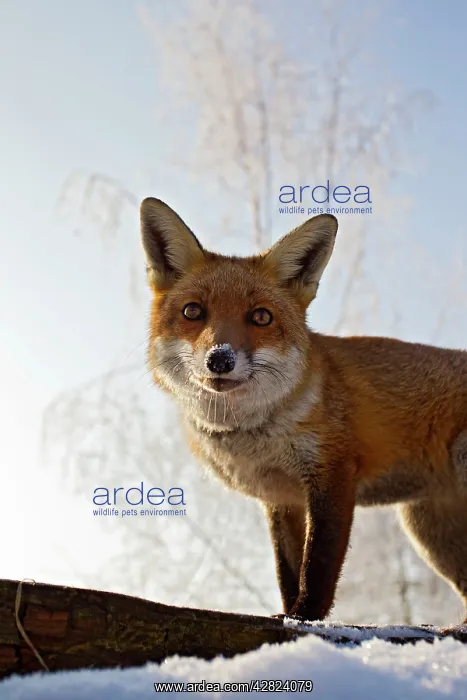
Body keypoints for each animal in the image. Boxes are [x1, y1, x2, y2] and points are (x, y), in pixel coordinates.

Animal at [140, 196, 467, 628]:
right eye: (193, 312)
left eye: (261, 316)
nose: (220, 359)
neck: (256, 438)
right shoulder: (281, 499)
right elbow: (288, 571)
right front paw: (286, 614)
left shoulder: (333, 474)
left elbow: (318, 566)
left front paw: (305, 619)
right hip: (430, 531)